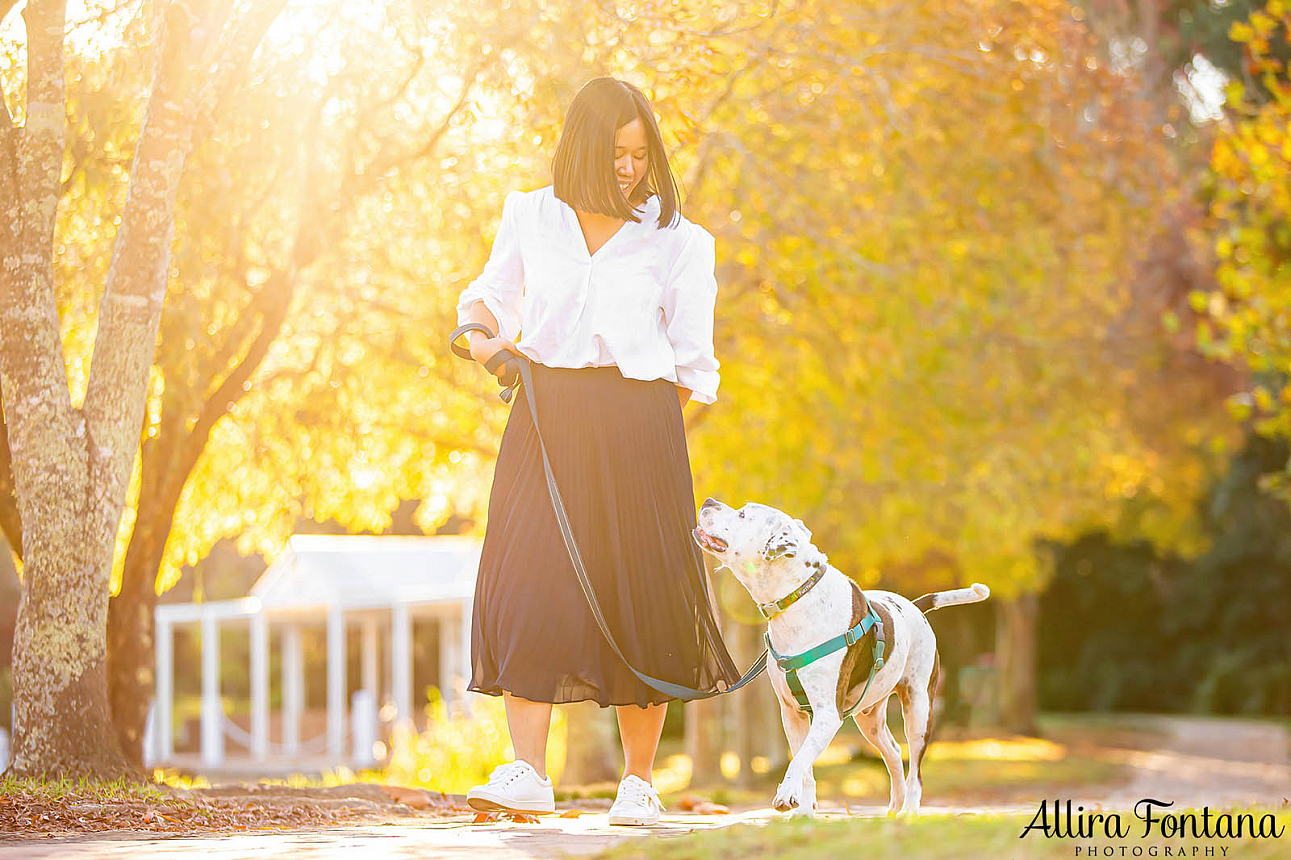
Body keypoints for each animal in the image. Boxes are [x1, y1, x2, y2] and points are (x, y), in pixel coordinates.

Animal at [697, 493, 986, 816]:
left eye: (743, 515)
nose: (708, 500)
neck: (798, 597)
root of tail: (914, 606)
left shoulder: (827, 714)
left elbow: (800, 759)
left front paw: (786, 794)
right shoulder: (792, 714)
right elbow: (805, 765)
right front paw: (804, 812)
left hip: (919, 708)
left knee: (915, 768)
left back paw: (910, 810)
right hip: (870, 718)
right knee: (893, 751)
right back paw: (894, 807)